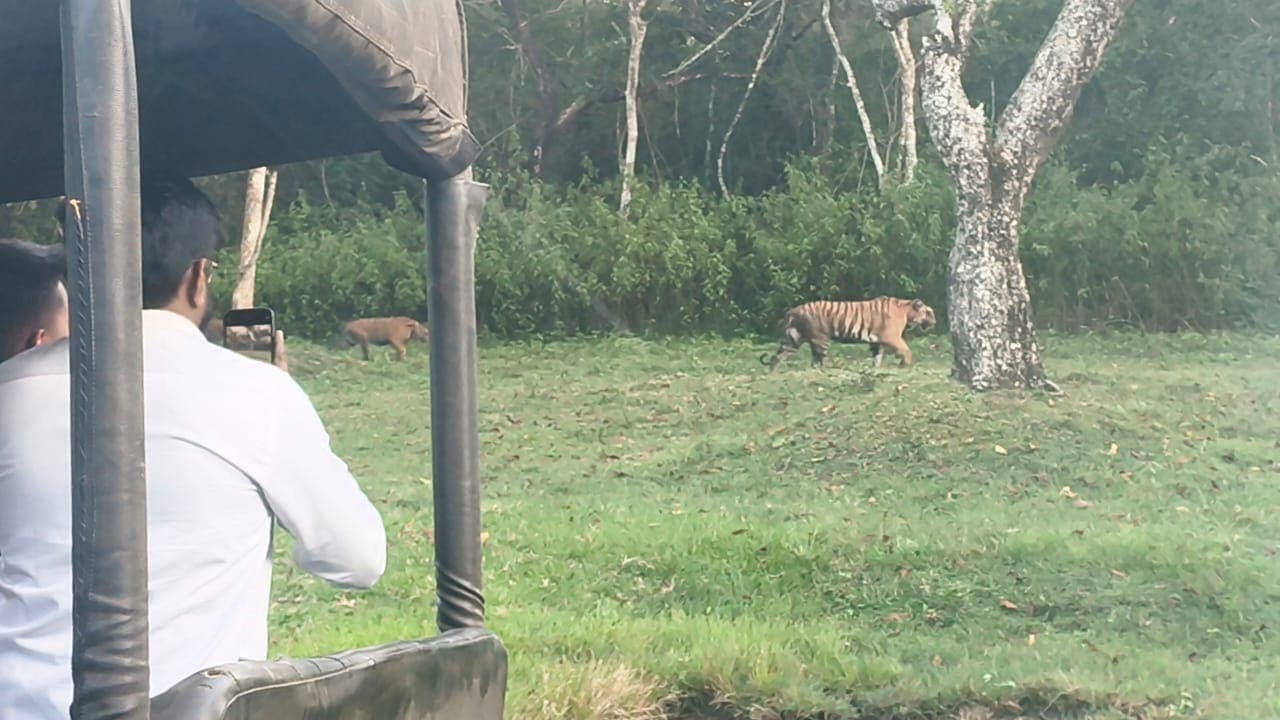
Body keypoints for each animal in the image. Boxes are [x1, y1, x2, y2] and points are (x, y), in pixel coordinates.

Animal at [760, 296, 937, 371]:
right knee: (820, 358)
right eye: (929, 312)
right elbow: (906, 350)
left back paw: (773, 373)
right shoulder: (891, 337)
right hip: (820, 338)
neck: (906, 310)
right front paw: (905, 364)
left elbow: (877, 356)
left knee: (779, 356)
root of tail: (794, 310)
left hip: (793, 339)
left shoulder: (877, 341)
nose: (935, 322)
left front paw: (876, 368)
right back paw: (828, 370)